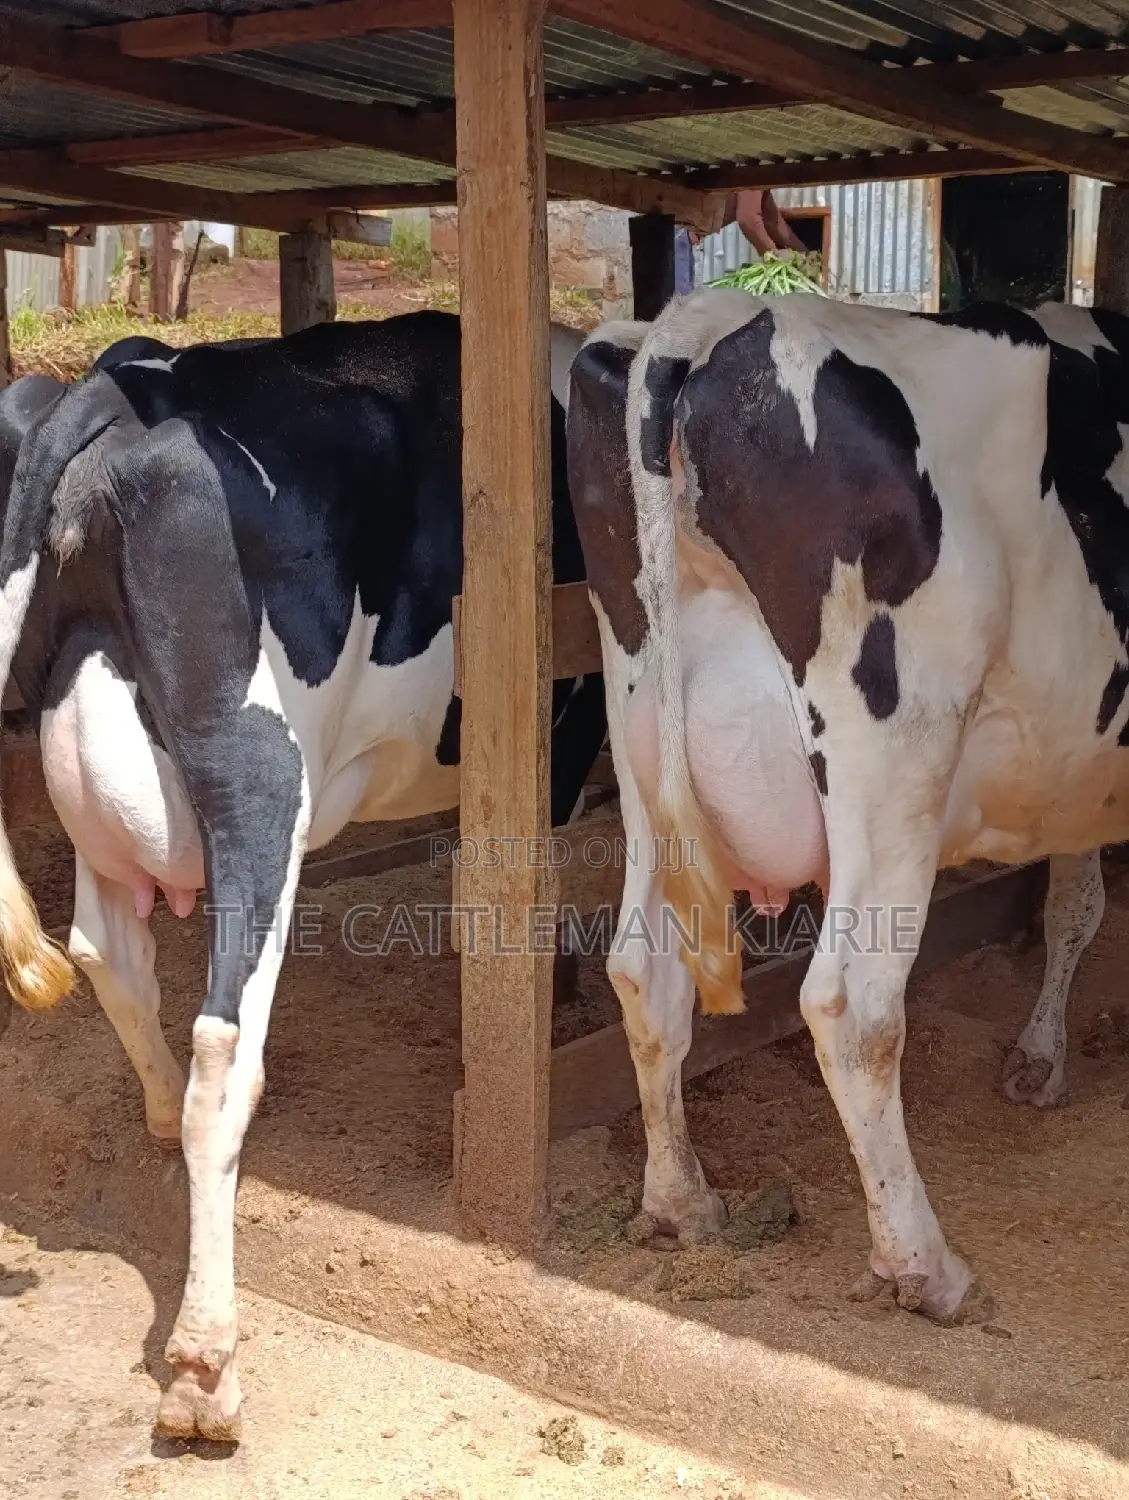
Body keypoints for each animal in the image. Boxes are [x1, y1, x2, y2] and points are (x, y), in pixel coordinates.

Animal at [0, 309, 605, 1439]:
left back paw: (156, 1115)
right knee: (220, 1044)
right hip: (257, 772)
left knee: (109, 959)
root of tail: (102, 387)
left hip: (93, 776)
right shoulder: (567, 717)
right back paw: (204, 1365)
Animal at [566, 288, 1124, 1328]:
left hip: (638, 731)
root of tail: (718, 318)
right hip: (893, 750)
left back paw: (680, 1204)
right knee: (851, 1005)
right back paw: (923, 1268)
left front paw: (1038, 1061)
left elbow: (1071, 902)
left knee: (642, 971)